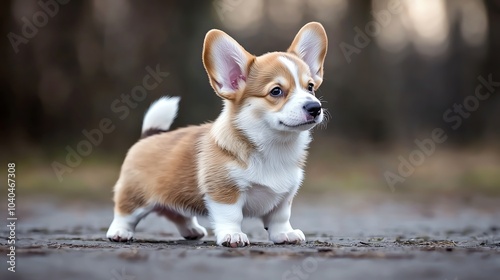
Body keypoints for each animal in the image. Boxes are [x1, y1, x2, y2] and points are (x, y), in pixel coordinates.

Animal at [105, 21, 328, 247]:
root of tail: (148, 136)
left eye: (310, 87)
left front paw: (285, 234)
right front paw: (233, 236)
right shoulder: (224, 191)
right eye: (276, 91)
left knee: (176, 213)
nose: (315, 107)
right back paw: (120, 232)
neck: (274, 146)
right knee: (124, 213)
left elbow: (280, 218)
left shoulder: (283, 197)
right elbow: (231, 216)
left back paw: (192, 230)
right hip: (135, 196)